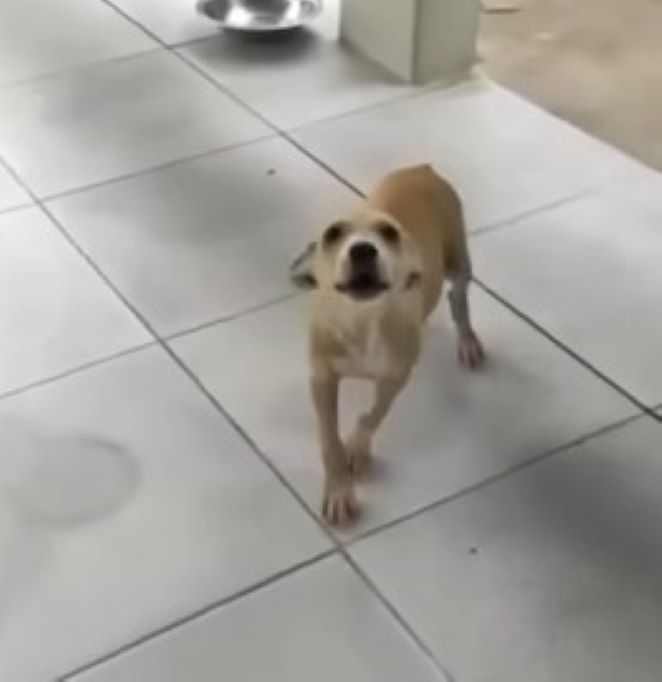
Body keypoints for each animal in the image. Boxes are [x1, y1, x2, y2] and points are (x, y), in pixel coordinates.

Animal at [294, 165, 486, 524]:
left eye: (389, 232)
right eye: (333, 233)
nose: (363, 250)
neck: (363, 321)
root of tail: (422, 168)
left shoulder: (395, 376)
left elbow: (373, 413)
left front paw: (356, 447)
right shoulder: (321, 378)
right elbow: (328, 438)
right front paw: (339, 488)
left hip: (458, 259)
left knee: (458, 296)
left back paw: (468, 340)